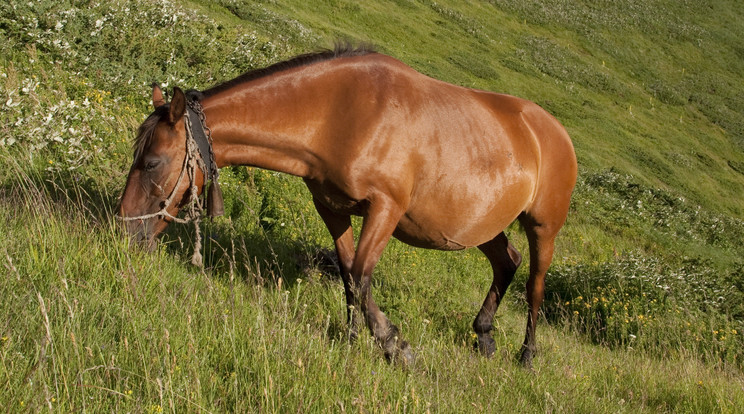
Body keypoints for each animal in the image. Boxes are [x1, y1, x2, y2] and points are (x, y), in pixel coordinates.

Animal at [119, 45, 580, 368]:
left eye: (152, 162)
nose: (123, 229)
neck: (340, 115)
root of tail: (555, 131)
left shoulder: (385, 209)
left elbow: (360, 277)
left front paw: (395, 346)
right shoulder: (332, 208)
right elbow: (346, 275)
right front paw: (353, 338)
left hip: (543, 228)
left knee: (534, 284)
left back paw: (527, 355)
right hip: (481, 225)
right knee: (507, 261)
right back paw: (483, 336)